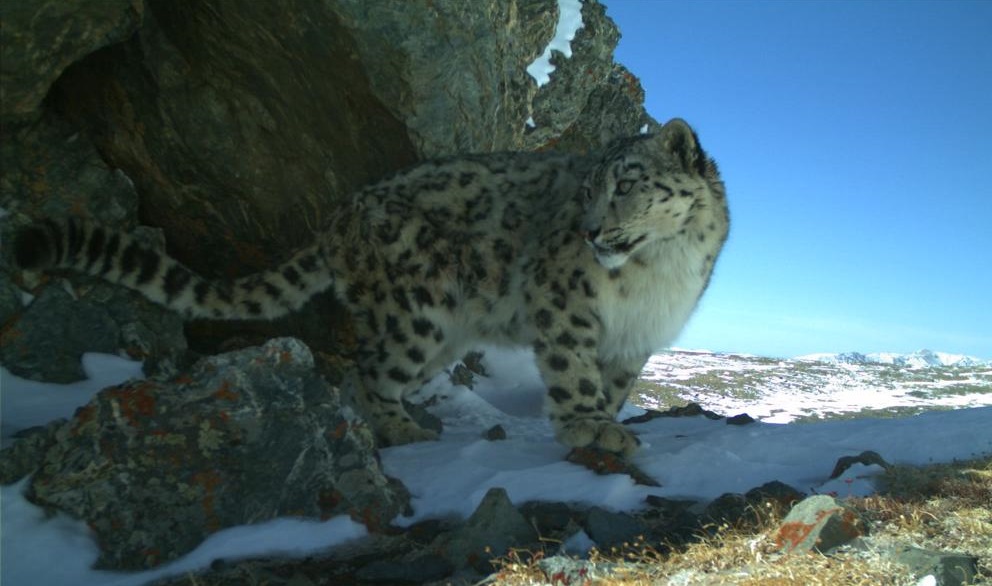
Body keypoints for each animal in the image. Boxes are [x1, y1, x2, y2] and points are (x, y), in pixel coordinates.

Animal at [13, 117, 728, 456]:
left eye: (626, 183)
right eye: (584, 190)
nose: (590, 230)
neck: (660, 272)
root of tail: (340, 214)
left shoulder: (636, 339)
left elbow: (614, 384)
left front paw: (607, 421)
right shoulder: (565, 306)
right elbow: (574, 372)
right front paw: (589, 427)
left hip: (441, 331)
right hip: (418, 310)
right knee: (368, 371)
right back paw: (402, 431)